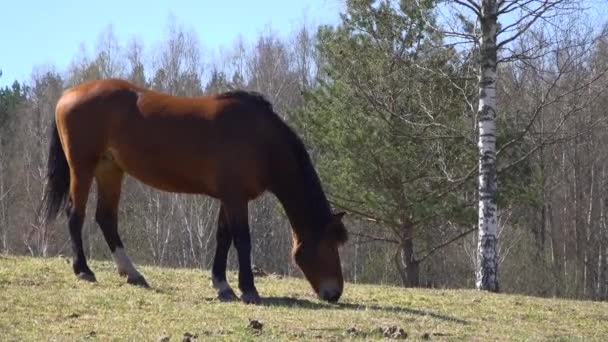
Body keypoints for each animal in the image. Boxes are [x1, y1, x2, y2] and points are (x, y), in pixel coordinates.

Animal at [40, 79, 350, 304]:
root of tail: (69, 93)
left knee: (106, 218)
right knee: (75, 214)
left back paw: (133, 274)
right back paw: (83, 270)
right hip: (83, 168)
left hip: (110, 170)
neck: (260, 139)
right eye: (327, 245)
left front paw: (222, 286)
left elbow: (223, 238)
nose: (334, 293)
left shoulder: (229, 197)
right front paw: (248, 289)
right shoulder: (236, 198)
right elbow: (242, 240)